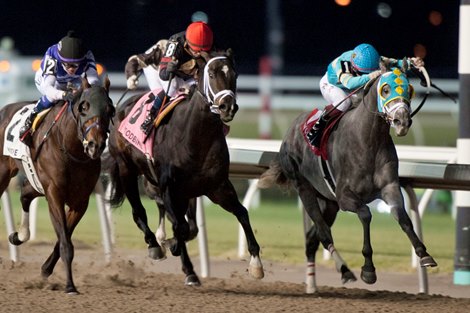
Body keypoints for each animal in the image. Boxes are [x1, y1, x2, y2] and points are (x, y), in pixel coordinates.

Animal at [0, 77, 114, 292]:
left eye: (110, 109)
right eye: (83, 107)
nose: (95, 145)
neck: (71, 149)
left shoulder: (80, 201)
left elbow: (64, 237)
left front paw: (46, 269)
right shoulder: (54, 193)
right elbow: (65, 243)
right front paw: (69, 285)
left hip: (35, 180)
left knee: (25, 193)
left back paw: (20, 235)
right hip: (4, 174)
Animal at [106, 49, 264, 286]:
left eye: (234, 75)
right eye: (212, 73)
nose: (227, 106)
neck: (196, 135)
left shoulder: (216, 187)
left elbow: (241, 213)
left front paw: (256, 264)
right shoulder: (169, 187)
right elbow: (179, 226)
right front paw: (183, 263)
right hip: (126, 169)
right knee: (139, 211)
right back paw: (155, 245)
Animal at [258, 64, 436, 292]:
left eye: (409, 89)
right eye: (385, 89)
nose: (402, 121)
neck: (368, 140)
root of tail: (290, 130)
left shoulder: (389, 187)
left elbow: (402, 217)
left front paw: (424, 255)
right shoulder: (345, 196)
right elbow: (366, 214)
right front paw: (368, 270)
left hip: (329, 202)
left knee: (312, 238)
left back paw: (314, 284)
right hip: (305, 189)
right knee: (323, 234)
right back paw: (345, 270)